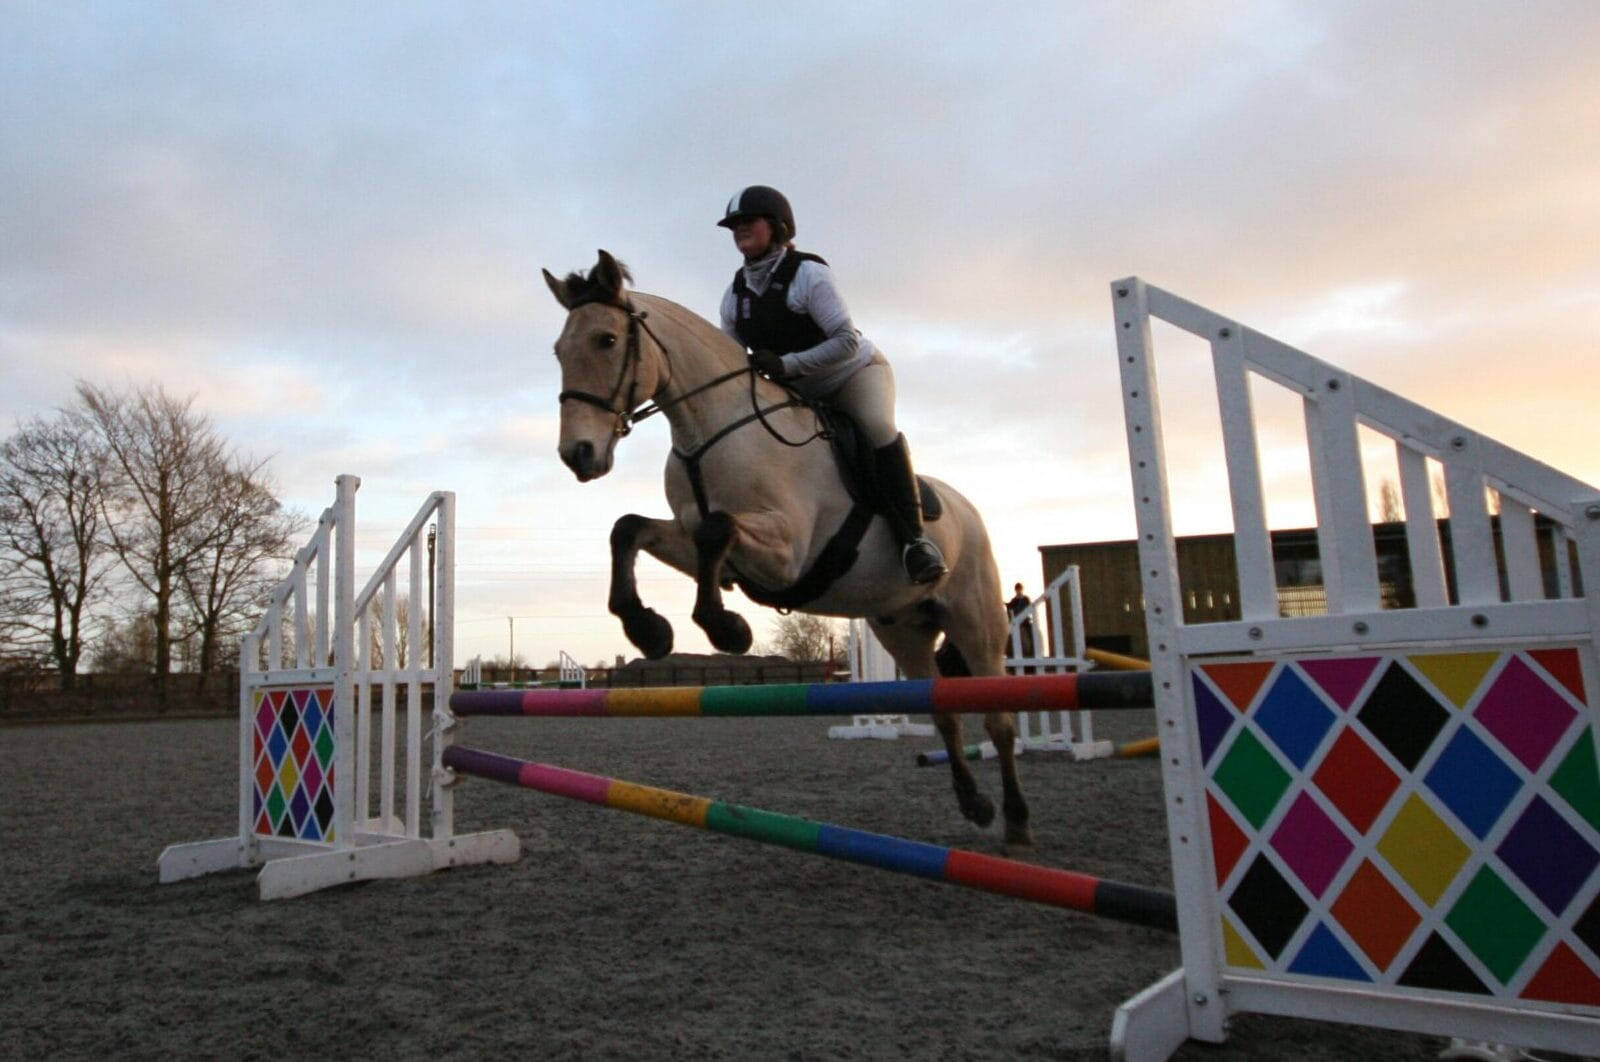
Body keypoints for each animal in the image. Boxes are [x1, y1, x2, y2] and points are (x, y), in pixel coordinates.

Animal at [544, 249, 1030, 844]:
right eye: (559, 350)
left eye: (607, 340)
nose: (579, 454)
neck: (711, 428)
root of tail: (970, 513)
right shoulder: (690, 534)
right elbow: (629, 528)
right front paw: (648, 629)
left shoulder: (788, 553)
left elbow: (716, 531)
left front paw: (727, 628)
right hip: (903, 630)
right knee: (943, 709)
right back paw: (974, 803)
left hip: (977, 621)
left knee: (998, 718)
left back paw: (1015, 819)